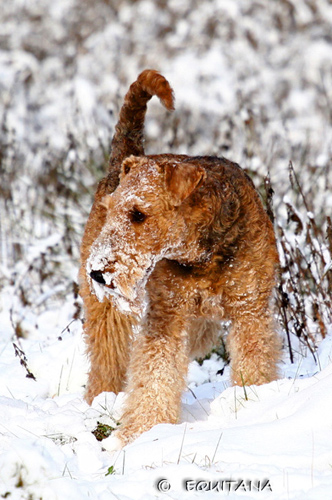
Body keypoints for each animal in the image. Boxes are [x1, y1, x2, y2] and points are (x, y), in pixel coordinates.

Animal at [80, 69, 280, 446]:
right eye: (111, 209)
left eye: (138, 214)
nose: (97, 272)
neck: (201, 254)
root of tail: (126, 156)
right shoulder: (166, 318)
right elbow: (155, 376)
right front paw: (141, 433)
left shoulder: (250, 311)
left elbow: (253, 365)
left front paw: (253, 406)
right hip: (107, 311)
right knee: (107, 360)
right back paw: (100, 400)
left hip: (204, 322)